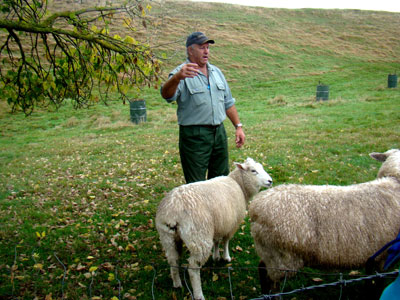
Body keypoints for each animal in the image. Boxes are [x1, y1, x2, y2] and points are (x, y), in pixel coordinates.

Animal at [155, 158, 272, 298]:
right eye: (253, 171)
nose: (270, 181)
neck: (239, 185)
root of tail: (173, 211)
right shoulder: (232, 224)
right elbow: (226, 241)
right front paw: (226, 257)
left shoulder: (219, 224)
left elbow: (216, 240)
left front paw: (216, 256)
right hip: (199, 236)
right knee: (193, 268)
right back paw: (199, 294)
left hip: (167, 237)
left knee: (173, 259)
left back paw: (177, 283)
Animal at [248, 149, 400, 294]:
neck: (394, 183)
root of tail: (255, 207)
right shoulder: (384, 257)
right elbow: (378, 281)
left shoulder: (374, 257)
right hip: (282, 258)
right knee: (270, 279)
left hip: (269, 252)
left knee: (261, 268)